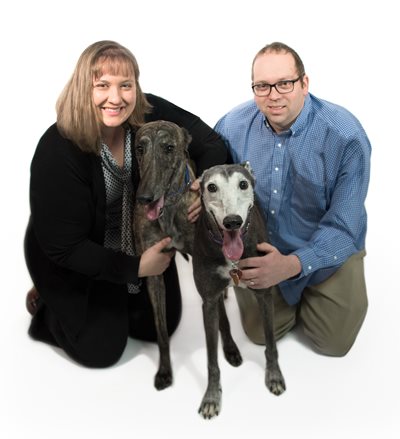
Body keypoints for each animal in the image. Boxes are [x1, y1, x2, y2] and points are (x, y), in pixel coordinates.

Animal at [192, 162, 286, 420]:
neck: (232, 261)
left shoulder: (264, 292)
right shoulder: (208, 300)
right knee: (222, 318)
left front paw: (274, 375)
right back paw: (231, 348)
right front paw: (211, 396)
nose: (232, 221)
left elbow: (271, 343)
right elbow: (212, 361)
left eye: (243, 184)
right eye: (211, 187)